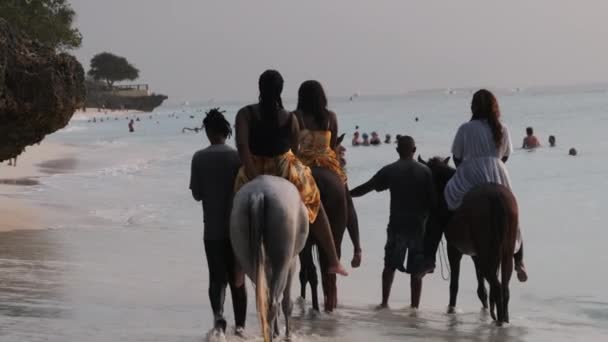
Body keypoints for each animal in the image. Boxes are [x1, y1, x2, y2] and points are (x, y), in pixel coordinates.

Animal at [232, 176, 312, 342]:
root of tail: (258, 194)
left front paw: (277, 331)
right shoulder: (292, 262)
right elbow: (286, 301)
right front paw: (287, 334)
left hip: (240, 232)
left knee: (263, 300)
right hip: (283, 243)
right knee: (273, 302)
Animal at [422, 156, 516, 324]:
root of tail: (496, 197)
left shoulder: (454, 249)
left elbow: (454, 284)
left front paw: (451, 309)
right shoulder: (475, 254)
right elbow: (481, 288)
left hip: (487, 255)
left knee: (497, 287)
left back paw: (499, 321)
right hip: (504, 254)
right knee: (504, 288)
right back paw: (504, 320)